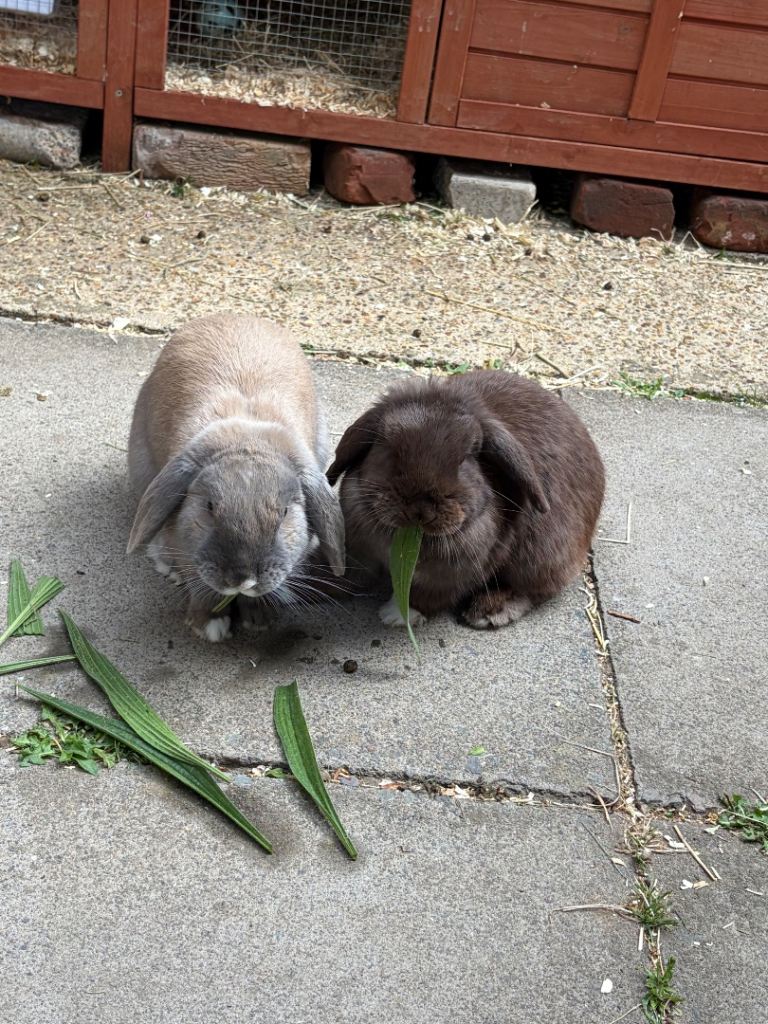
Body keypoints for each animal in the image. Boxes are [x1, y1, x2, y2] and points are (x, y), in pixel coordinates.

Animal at [127, 313, 345, 642]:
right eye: (209, 507)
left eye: (284, 513)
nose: (242, 579)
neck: (248, 439)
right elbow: (200, 585)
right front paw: (208, 625)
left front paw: (259, 618)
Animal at [327, 370, 604, 630]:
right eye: (389, 450)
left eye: (465, 459)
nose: (420, 509)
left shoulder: (454, 576)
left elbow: (427, 597)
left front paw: (397, 615)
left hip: (541, 559)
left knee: (534, 590)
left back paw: (487, 612)